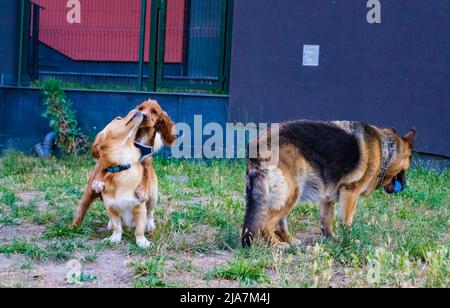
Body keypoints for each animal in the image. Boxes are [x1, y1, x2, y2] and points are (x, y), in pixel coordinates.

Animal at [71, 98, 175, 229]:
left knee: (150, 212)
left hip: (153, 196)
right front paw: (99, 180)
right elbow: (102, 167)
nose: (144, 115)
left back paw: (150, 224)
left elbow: (145, 177)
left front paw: (142, 190)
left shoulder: (146, 164)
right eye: (141, 108)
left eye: (154, 111)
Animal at [243, 120, 414, 248]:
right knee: (266, 223)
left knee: (279, 222)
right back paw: (276, 245)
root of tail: (257, 145)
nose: (405, 186)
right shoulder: (350, 193)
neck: (386, 149)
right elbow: (346, 222)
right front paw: (348, 240)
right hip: (291, 193)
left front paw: (332, 239)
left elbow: (327, 222)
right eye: (408, 163)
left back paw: (289, 239)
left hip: (287, 194)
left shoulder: (327, 199)